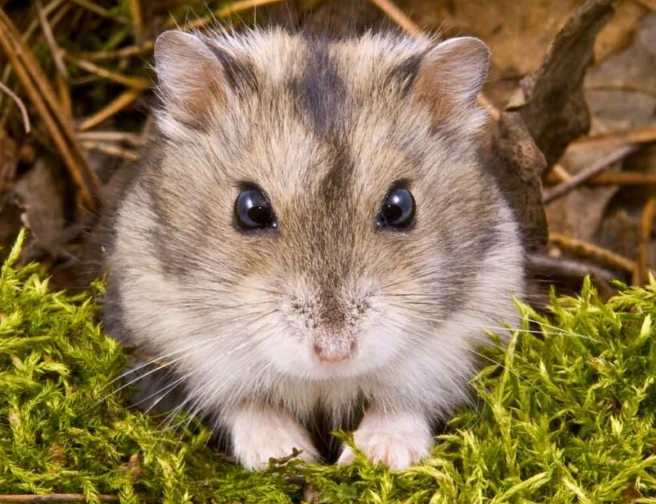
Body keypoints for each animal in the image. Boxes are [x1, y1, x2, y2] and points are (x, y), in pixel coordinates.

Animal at [103, 28, 525, 470]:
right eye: (251, 209)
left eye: (400, 207)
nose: (334, 353)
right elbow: (246, 403)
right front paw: (285, 455)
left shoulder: (464, 336)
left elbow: (403, 402)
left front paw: (378, 456)